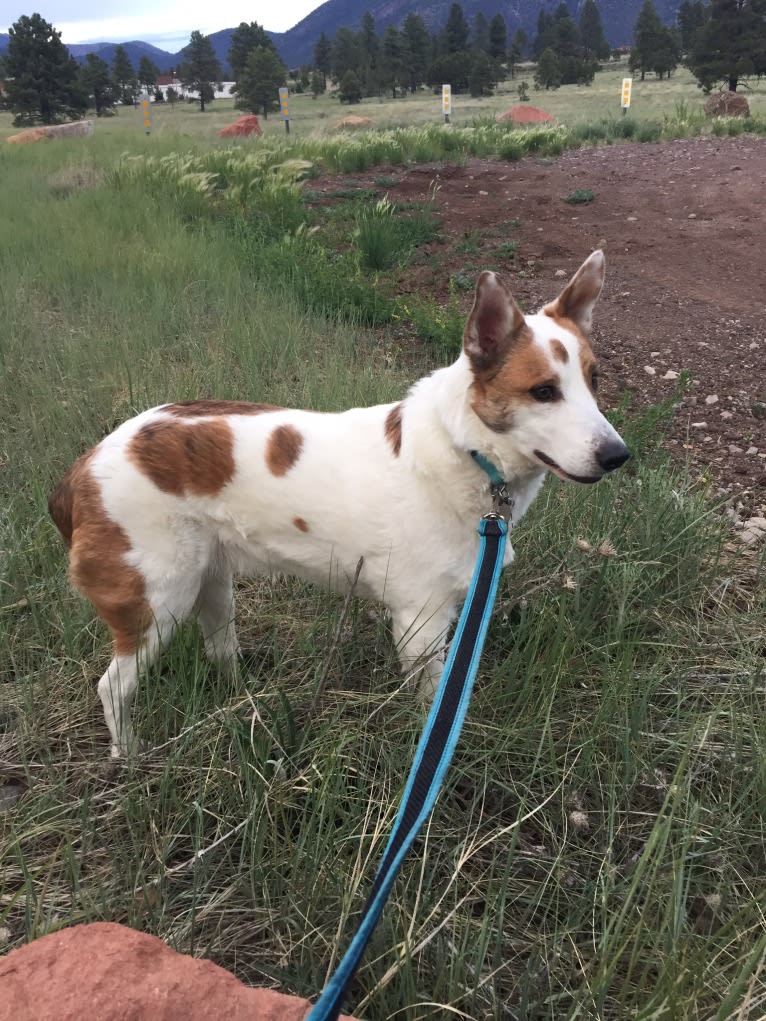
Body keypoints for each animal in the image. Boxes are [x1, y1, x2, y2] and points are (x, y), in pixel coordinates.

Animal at [51, 250, 633, 755]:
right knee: (112, 687)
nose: (617, 455)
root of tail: (84, 466)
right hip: (157, 599)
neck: (463, 446)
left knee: (219, 648)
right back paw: (129, 755)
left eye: (595, 380)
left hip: (209, 580)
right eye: (543, 391)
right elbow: (432, 703)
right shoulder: (421, 622)